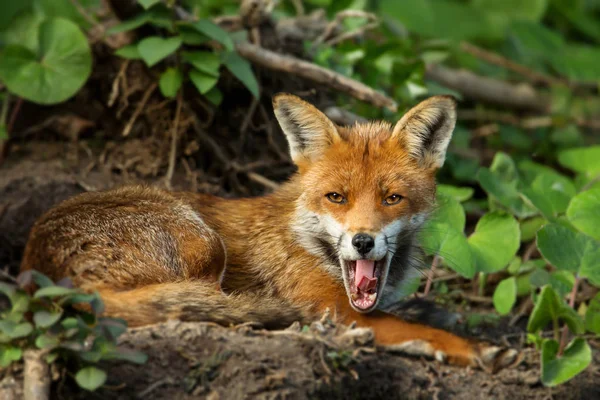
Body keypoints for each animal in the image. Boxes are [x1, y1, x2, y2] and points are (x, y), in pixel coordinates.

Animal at [22, 94, 520, 372]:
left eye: (392, 198)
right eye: (336, 197)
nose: (362, 241)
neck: (306, 241)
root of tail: (38, 268)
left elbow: (410, 312)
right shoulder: (334, 306)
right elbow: (406, 325)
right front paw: (470, 348)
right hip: (204, 244)